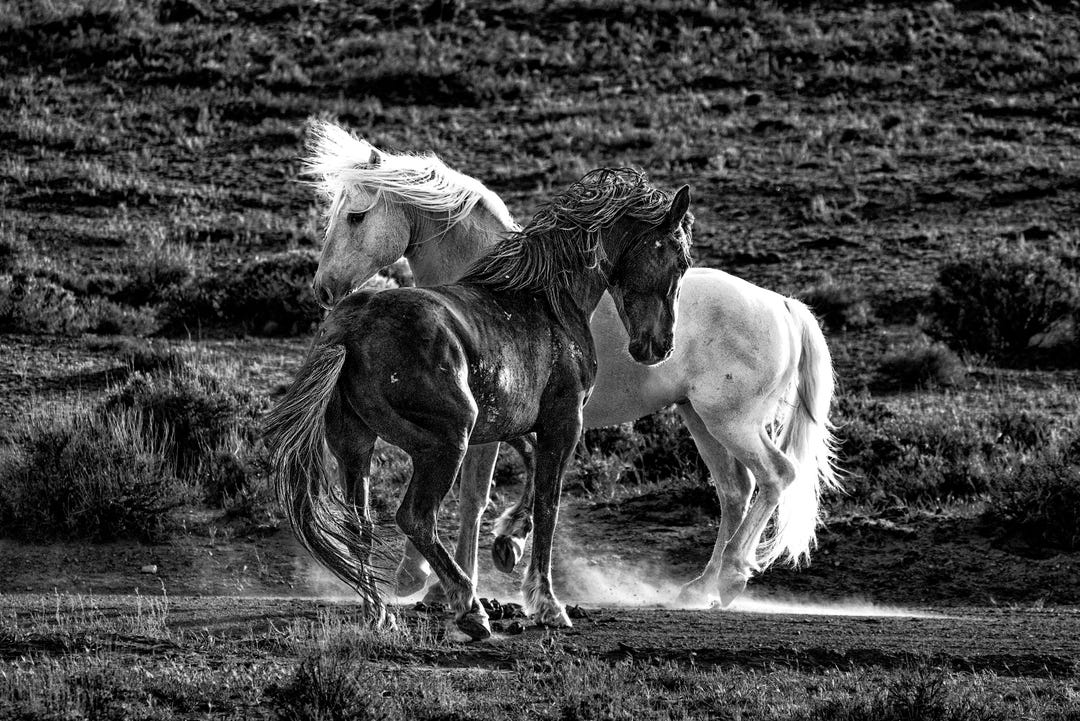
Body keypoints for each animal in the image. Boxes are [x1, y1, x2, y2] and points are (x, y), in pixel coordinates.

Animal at [265, 168, 694, 639]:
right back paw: (468, 606)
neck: (544, 299)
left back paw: (381, 612)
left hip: (355, 446)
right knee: (415, 517)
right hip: (445, 441)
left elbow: (522, 476)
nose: (658, 346)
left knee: (358, 524)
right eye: (680, 261)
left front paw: (509, 541)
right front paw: (547, 604)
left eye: (354, 216)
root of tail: (351, 329)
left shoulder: (508, 425)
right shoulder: (563, 423)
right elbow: (548, 506)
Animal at [304, 121, 839, 609]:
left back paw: (729, 578)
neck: (504, 285)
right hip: (701, 419)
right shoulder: (516, 417)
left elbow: (473, 495)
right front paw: (501, 546)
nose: (325, 289)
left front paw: (436, 580)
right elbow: (511, 474)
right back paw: (701, 587)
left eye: (355, 216)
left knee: (776, 476)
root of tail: (783, 306)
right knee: (735, 491)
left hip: (732, 421)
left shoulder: (493, 419)